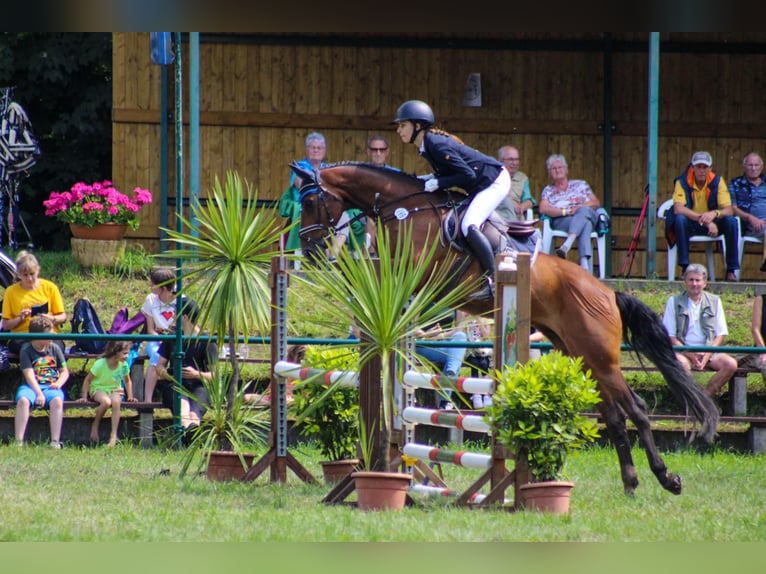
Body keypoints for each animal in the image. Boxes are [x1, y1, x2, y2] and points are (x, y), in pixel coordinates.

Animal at [293, 161, 720, 496]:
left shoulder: (418, 271)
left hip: (601, 359)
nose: (311, 252)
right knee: (614, 417)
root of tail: (606, 291)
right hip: (580, 356)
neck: (404, 208)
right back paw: (630, 482)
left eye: (311, 202)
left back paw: (667, 479)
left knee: (638, 410)